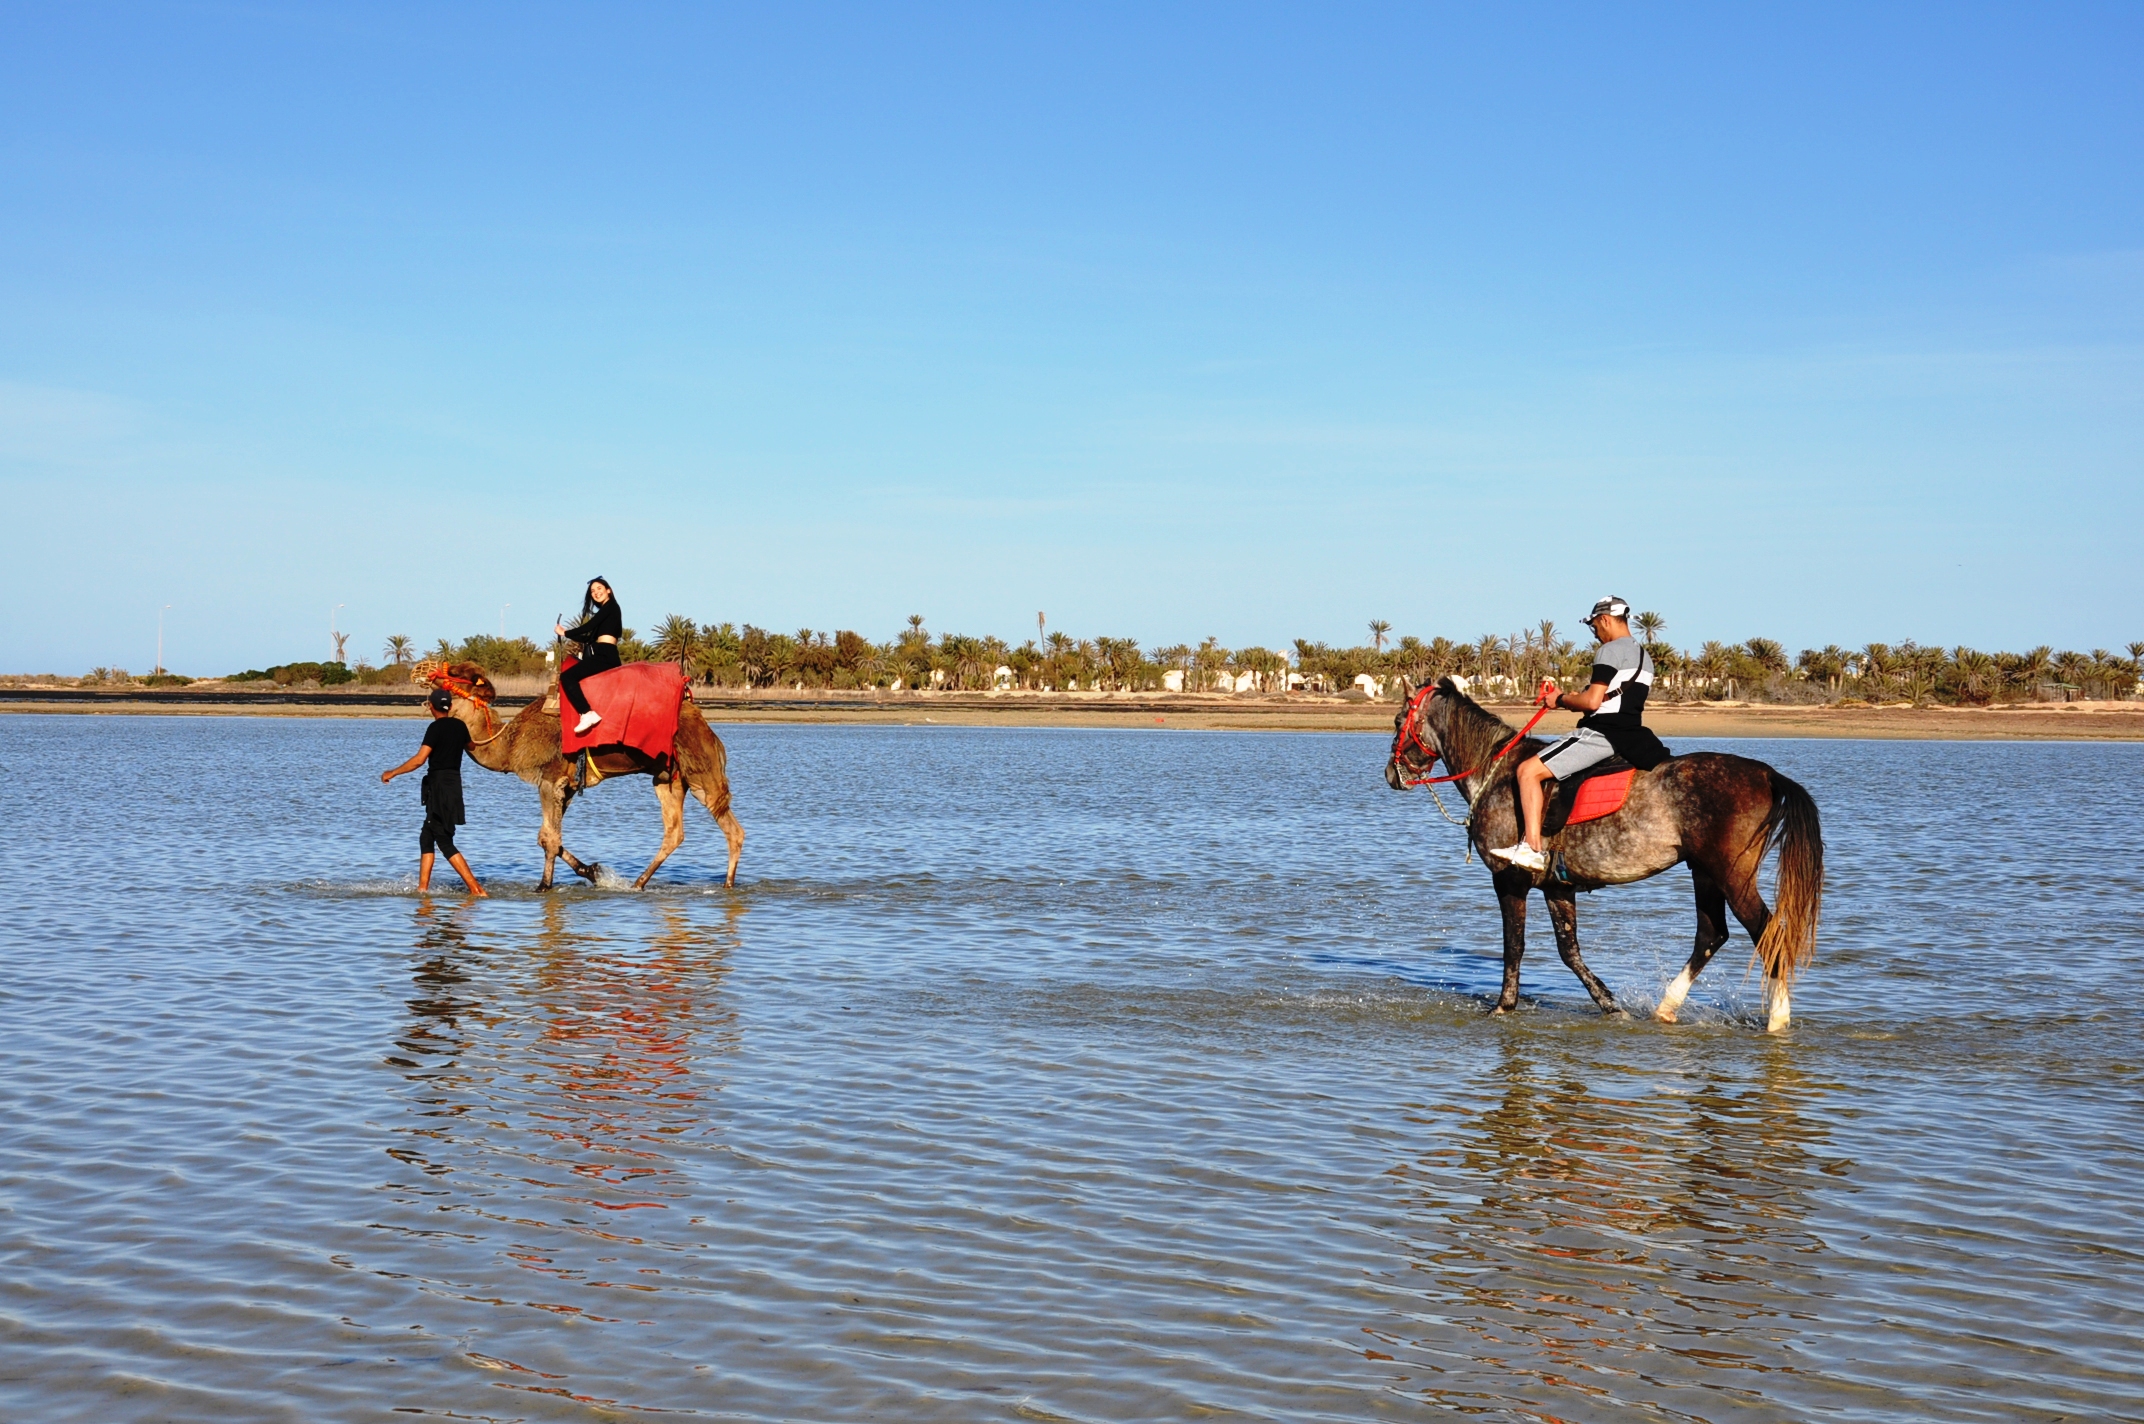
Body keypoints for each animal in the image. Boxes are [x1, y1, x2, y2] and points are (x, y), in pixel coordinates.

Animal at [424, 661, 745, 891]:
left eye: (455, 673)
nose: (428, 673)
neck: (510, 743)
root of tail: (711, 734)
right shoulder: (566, 787)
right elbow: (547, 836)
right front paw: (591, 871)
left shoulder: (550, 779)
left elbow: (549, 838)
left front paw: (544, 886)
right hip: (670, 778)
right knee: (678, 832)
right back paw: (641, 884)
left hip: (701, 771)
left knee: (729, 827)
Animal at [1386, 677, 1822, 1031]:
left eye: (1396, 721)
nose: (1391, 775)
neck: (1499, 773)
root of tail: (1766, 774)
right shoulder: (1558, 887)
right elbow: (1569, 951)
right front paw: (1611, 1005)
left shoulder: (1509, 879)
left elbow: (1515, 945)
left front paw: (1504, 1005)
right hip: (1705, 872)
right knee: (1711, 934)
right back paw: (1666, 1008)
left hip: (1731, 874)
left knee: (1767, 933)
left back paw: (1778, 1020)